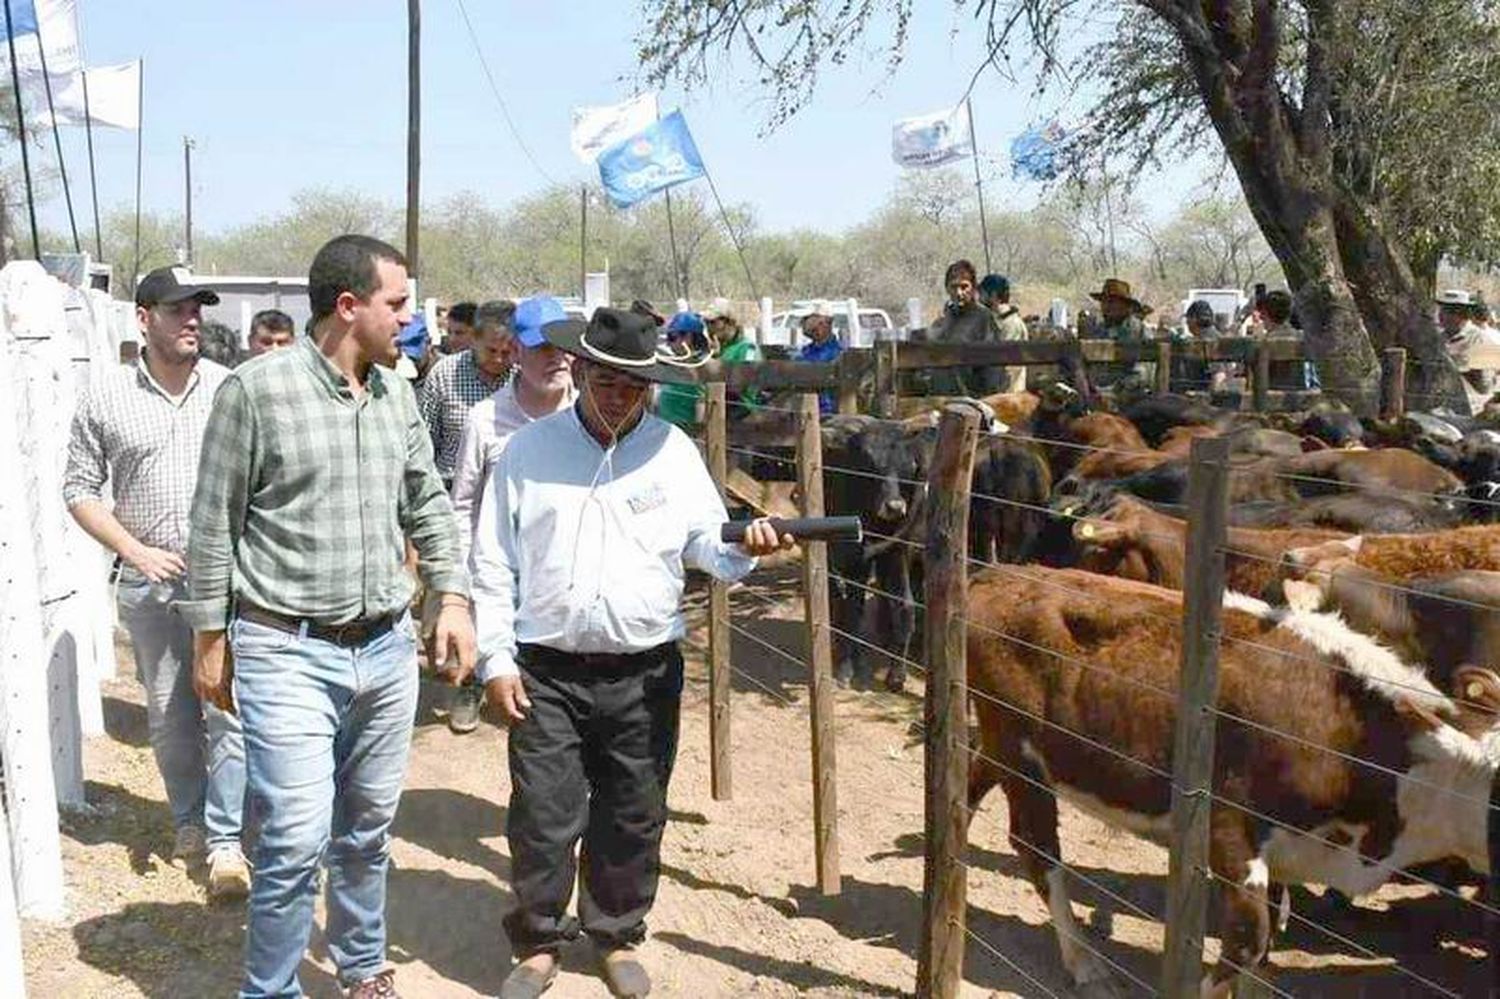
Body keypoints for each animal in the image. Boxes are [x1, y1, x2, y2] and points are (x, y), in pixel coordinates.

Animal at [966, 564, 1494, 990]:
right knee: (1037, 848)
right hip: (1021, 756)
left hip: (1000, 743)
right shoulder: (1227, 824)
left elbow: (1263, 958)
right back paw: (1084, 962)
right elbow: (1247, 942)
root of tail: (1002, 575)